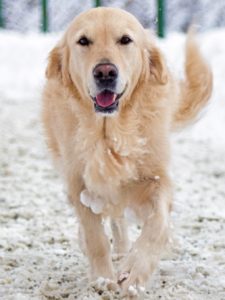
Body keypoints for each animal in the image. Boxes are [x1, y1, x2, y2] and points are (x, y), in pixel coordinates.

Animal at [41, 7, 212, 296]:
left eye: (125, 40)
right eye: (83, 41)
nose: (105, 72)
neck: (109, 132)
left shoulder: (156, 178)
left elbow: (157, 224)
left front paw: (134, 271)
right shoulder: (79, 181)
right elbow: (95, 235)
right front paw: (102, 278)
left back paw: (123, 253)